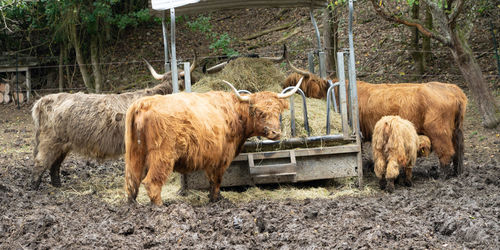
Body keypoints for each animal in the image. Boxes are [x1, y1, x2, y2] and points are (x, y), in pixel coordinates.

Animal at [30, 58, 196, 188]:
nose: (193, 80)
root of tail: (43, 101)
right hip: (49, 141)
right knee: (40, 162)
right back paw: (34, 187)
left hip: (63, 145)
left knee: (54, 165)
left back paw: (57, 185)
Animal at [125, 78, 304, 205]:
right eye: (259, 112)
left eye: (278, 111)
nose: (276, 133)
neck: (235, 113)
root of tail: (143, 103)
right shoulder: (221, 157)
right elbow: (217, 180)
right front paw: (216, 200)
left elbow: (212, 180)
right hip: (163, 154)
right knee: (151, 182)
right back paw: (160, 206)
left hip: (135, 153)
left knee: (132, 181)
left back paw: (132, 206)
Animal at [286, 62, 468, 178]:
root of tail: (454, 89)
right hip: (456, 129)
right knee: (459, 149)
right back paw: (457, 173)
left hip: (439, 130)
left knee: (447, 152)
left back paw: (442, 176)